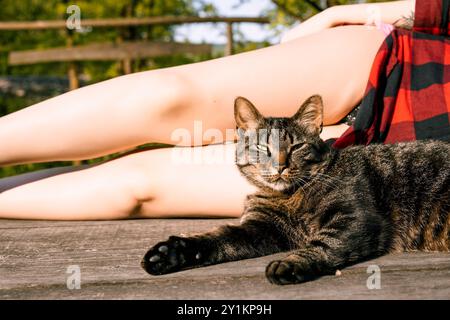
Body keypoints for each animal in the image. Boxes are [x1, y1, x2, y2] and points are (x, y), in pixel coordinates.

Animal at [142, 95, 450, 284]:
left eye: (297, 147)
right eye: (262, 147)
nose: (280, 165)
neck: (288, 196)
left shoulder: (357, 218)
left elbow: (325, 244)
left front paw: (290, 264)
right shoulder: (261, 227)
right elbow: (218, 239)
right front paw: (171, 253)